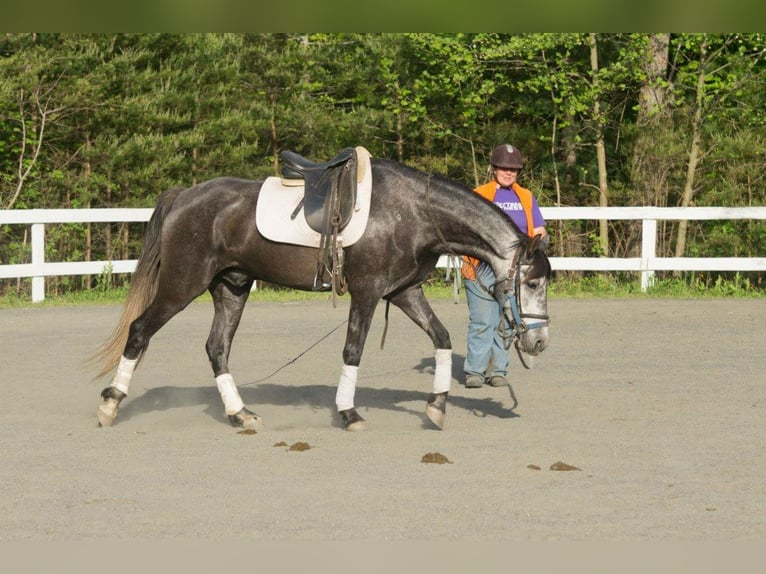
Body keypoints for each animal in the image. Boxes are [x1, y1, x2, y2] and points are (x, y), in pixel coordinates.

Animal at [94, 154, 552, 432]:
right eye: (532, 283)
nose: (540, 342)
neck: (415, 213)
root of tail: (185, 196)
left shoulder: (403, 292)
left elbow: (441, 338)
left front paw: (436, 407)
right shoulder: (368, 293)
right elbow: (353, 351)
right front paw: (349, 413)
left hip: (232, 287)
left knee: (217, 348)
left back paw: (240, 414)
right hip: (182, 284)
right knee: (140, 331)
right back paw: (110, 405)